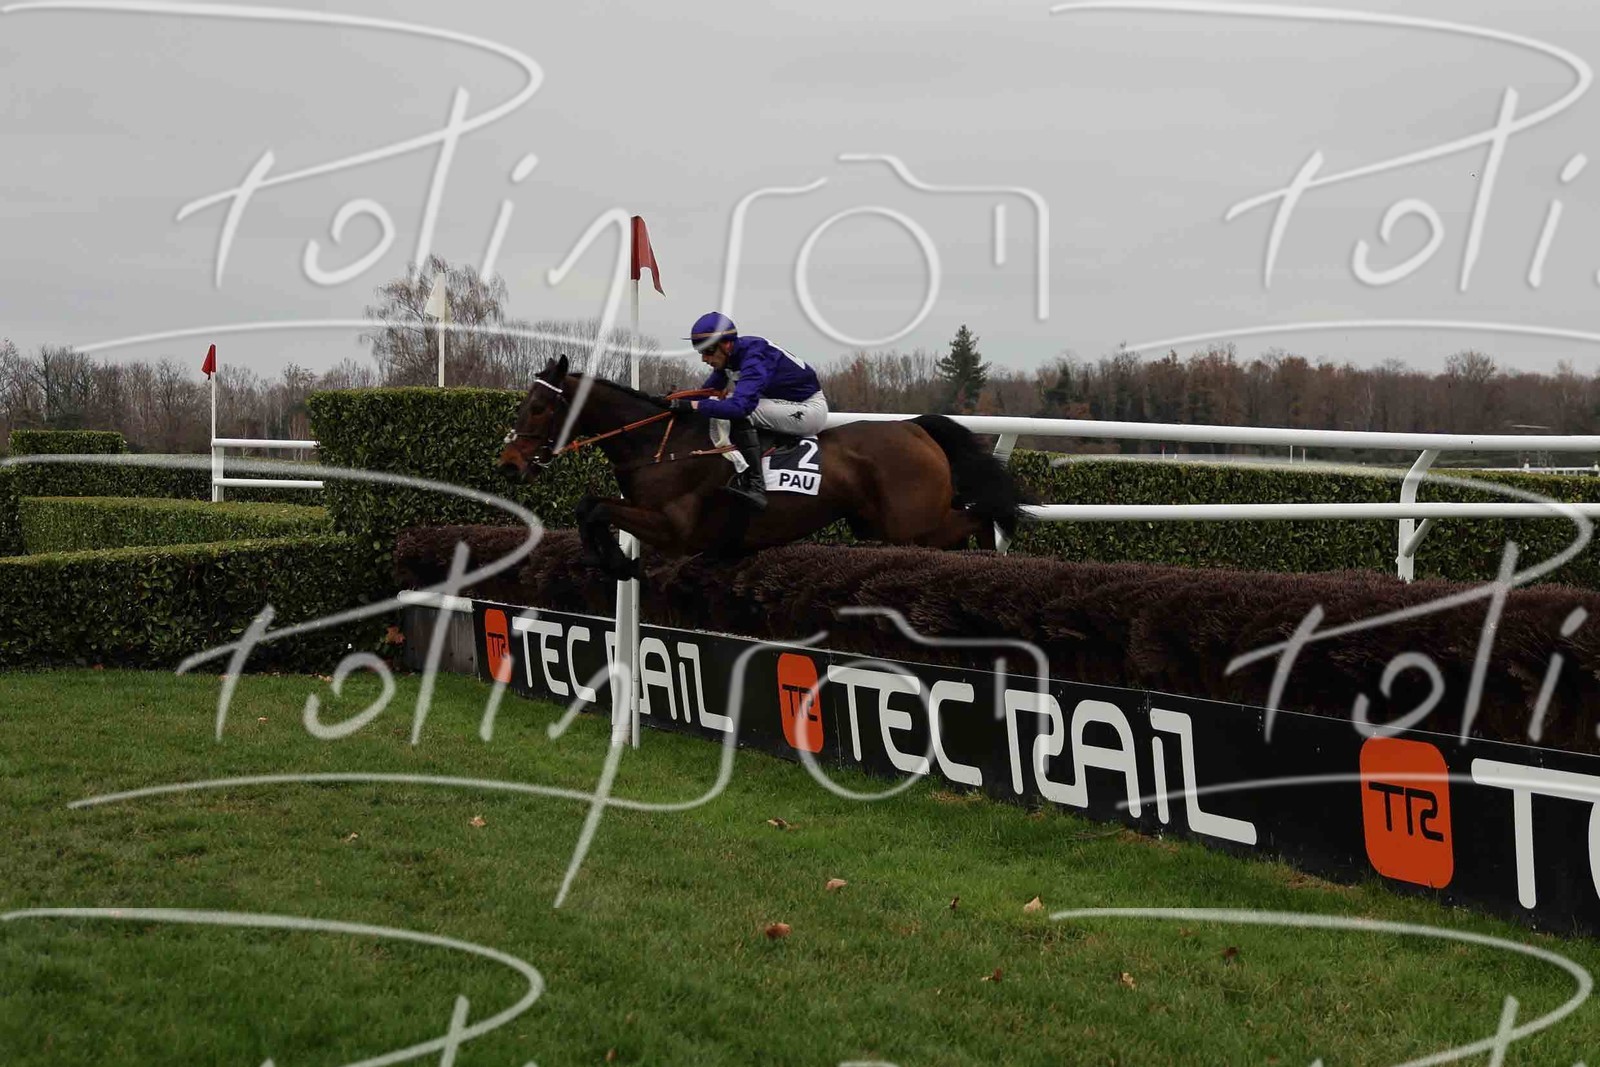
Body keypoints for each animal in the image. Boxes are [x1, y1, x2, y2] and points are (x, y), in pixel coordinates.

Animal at [497, 355, 1028, 580]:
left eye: (539, 409)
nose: (509, 465)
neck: (661, 445)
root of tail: (915, 429)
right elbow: (589, 505)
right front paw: (603, 556)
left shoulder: (674, 530)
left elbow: (597, 508)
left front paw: (613, 559)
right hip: (880, 523)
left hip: (910, 523)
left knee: (978, 518)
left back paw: (995, 559)